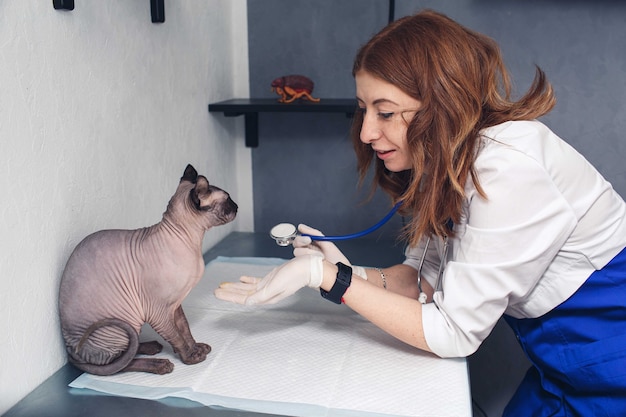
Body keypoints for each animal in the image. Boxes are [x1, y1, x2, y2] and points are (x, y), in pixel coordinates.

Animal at [58, 164, 236, 376]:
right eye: (228, 199)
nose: (237, 206)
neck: (194, 243)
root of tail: (72, 353)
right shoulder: (158, 311)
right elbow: (175, 335)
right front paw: (190, 357)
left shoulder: (174, 305)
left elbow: (184, 328)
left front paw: (194, 347)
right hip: (120, 325)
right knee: (120, 363)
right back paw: (158, 364)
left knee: (130, 349)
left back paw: (150, 346)